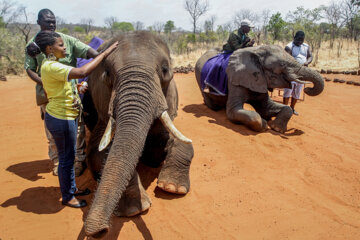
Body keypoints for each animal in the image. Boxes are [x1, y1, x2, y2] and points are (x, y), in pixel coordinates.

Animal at [81, 31, 194, 237]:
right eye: (107, 75)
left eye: (165, 70)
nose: (100, 231)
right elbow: (98, 155)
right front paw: (135, 209)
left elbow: (176, 142)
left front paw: (173, 188)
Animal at [195, 44, 324, 132]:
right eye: (282, 65)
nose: (307, 89)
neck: (257, 51)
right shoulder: (235, 79)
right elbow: (234, 112)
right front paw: (265, 125)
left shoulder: (260, 79)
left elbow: (266, 108)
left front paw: (276, 128)